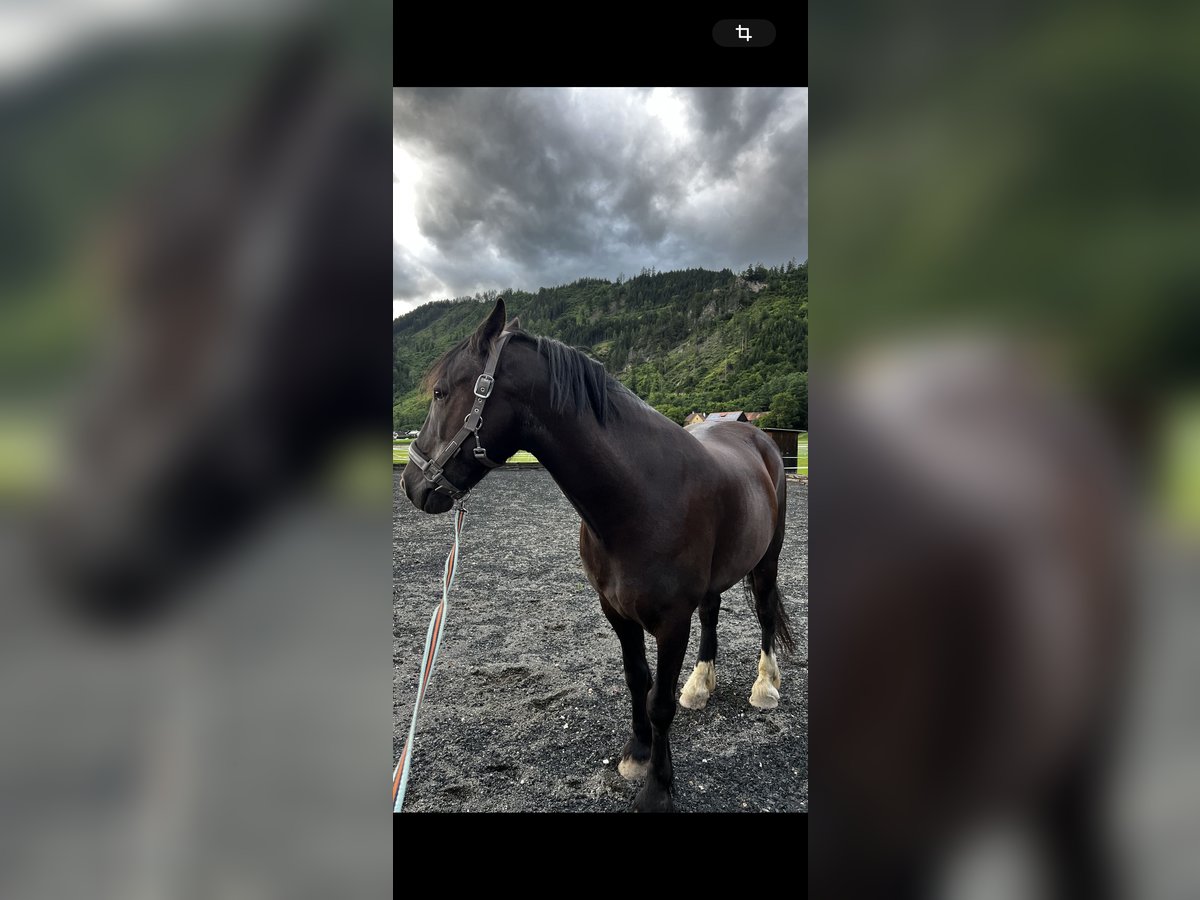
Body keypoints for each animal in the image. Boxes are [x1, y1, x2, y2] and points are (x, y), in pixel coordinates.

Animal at [403, 300, 796, 816]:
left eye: (441, 392)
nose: (411, 484)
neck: (640, 497)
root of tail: (761, 439)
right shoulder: (617, 612)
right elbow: (637, 680)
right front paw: (637, 756)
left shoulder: (672, 621)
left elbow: (659, 702)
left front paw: (658, 789)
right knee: (713, 613)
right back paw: (700, 685)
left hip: (768, 558)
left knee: (766, 610)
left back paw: (765, 687)